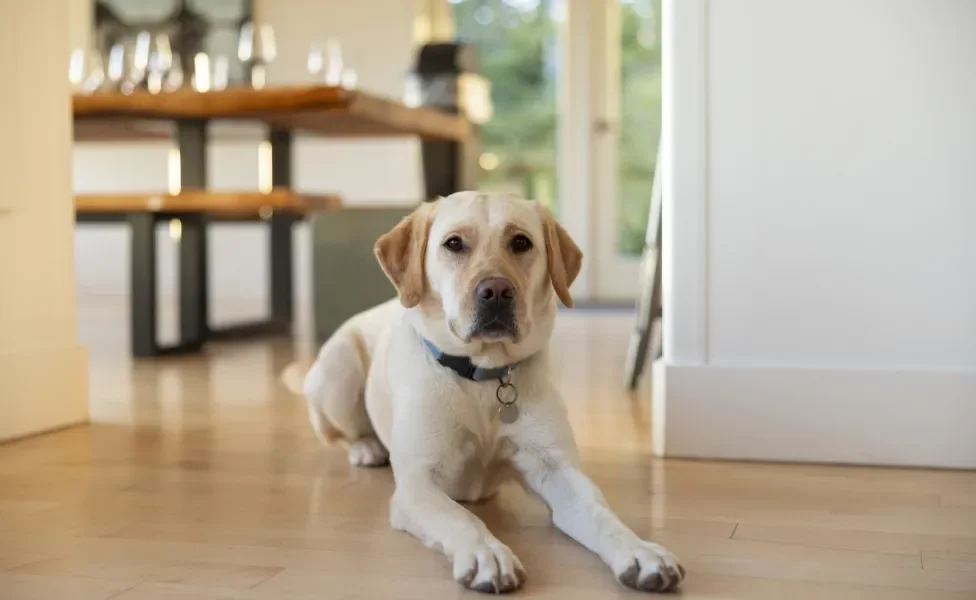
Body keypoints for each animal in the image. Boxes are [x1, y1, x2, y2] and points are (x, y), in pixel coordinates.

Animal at [282, 191, 684, 592]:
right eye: (453, 244)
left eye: (521, 242)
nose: (497, 292)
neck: (484, 378)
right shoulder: (417, 483)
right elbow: (462, 518)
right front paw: (486, 554)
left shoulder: (556, 469)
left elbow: (603, 515)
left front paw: (640, 551)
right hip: (340, 367)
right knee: (341, 432)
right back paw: (367, 447)